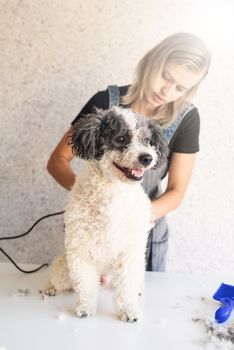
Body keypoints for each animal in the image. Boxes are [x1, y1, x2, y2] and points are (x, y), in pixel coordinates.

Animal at [45, 106, 166, 322]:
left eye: (147, 140)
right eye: (120, 138)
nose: (147, 158)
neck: (113, 191)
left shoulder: (130, 251)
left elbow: (126, 287)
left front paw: (128, 310)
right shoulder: (80, 250)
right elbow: (85, 285)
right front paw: (85, 308)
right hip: (64, 267)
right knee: (57, 278)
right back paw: (50, 288)